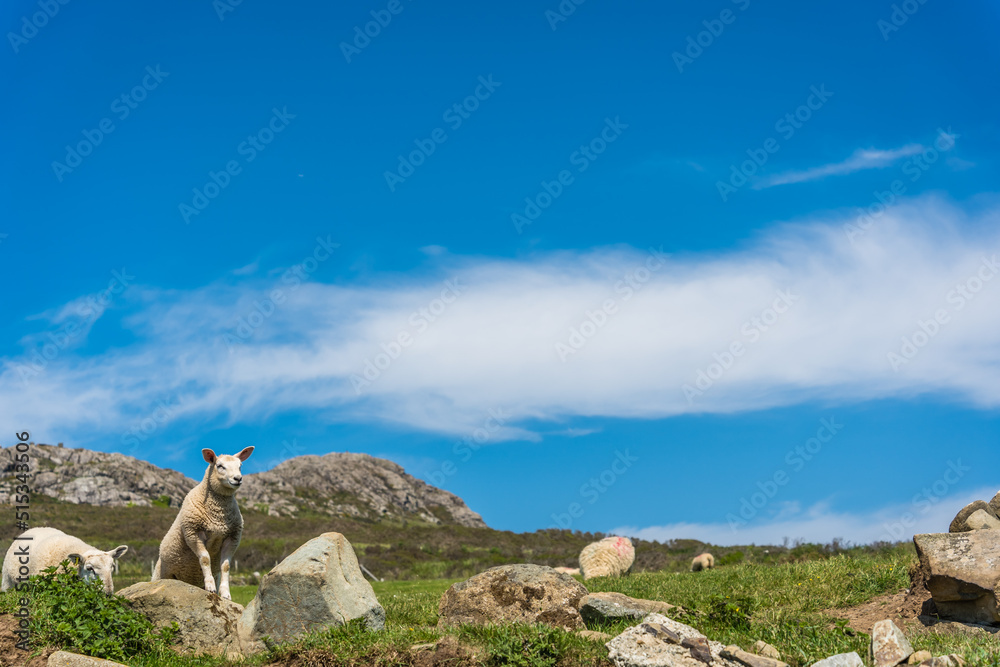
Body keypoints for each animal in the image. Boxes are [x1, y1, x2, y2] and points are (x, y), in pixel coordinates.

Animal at [152, 448, 256, 600]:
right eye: (220, 466)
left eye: (240, 466)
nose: (238, 478)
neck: (218, 515)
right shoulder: (193, 532)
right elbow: (205, 559)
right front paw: (211, 587)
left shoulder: (232, 537)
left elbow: (226, 566)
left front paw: (225, 593)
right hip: (160, 575)